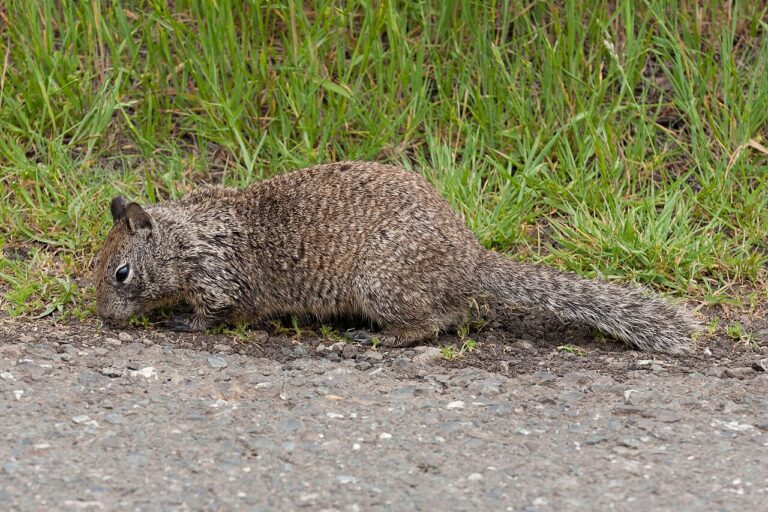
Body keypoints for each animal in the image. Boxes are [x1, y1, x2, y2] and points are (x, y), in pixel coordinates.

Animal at [95, 161, 699, 353]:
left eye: (120, 273)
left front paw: (182, 322)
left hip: (380, 284)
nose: (101, 317)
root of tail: (469, 258)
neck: (186, 236)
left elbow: (214, 312)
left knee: (426, 326)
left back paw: (376, 338)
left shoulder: (218, 278)